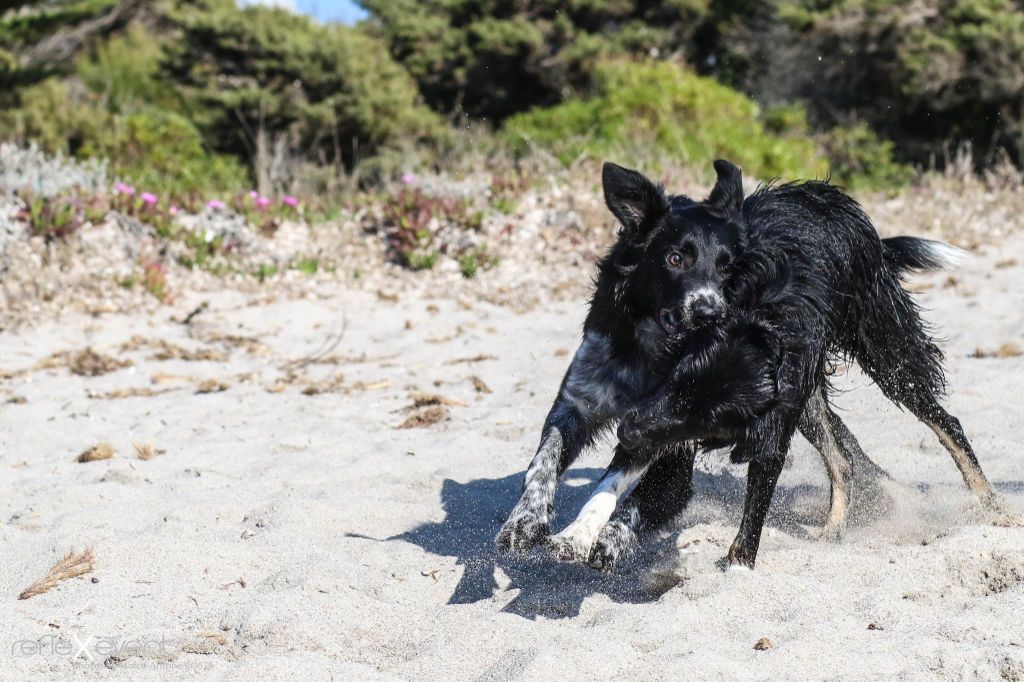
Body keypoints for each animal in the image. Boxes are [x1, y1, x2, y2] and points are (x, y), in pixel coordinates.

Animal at [497, 160, 966, 569]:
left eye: (728, 268)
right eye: (674, 259)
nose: (710, 313)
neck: (649, 347)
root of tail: (834, 201)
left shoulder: (668, 439)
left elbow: (625, 496)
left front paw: (601, 538)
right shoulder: (587, 400)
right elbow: (544, 462)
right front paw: (532, 522)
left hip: (886, 356)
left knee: (947, 424)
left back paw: (982, 509)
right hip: (798, 394)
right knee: (843, 456)